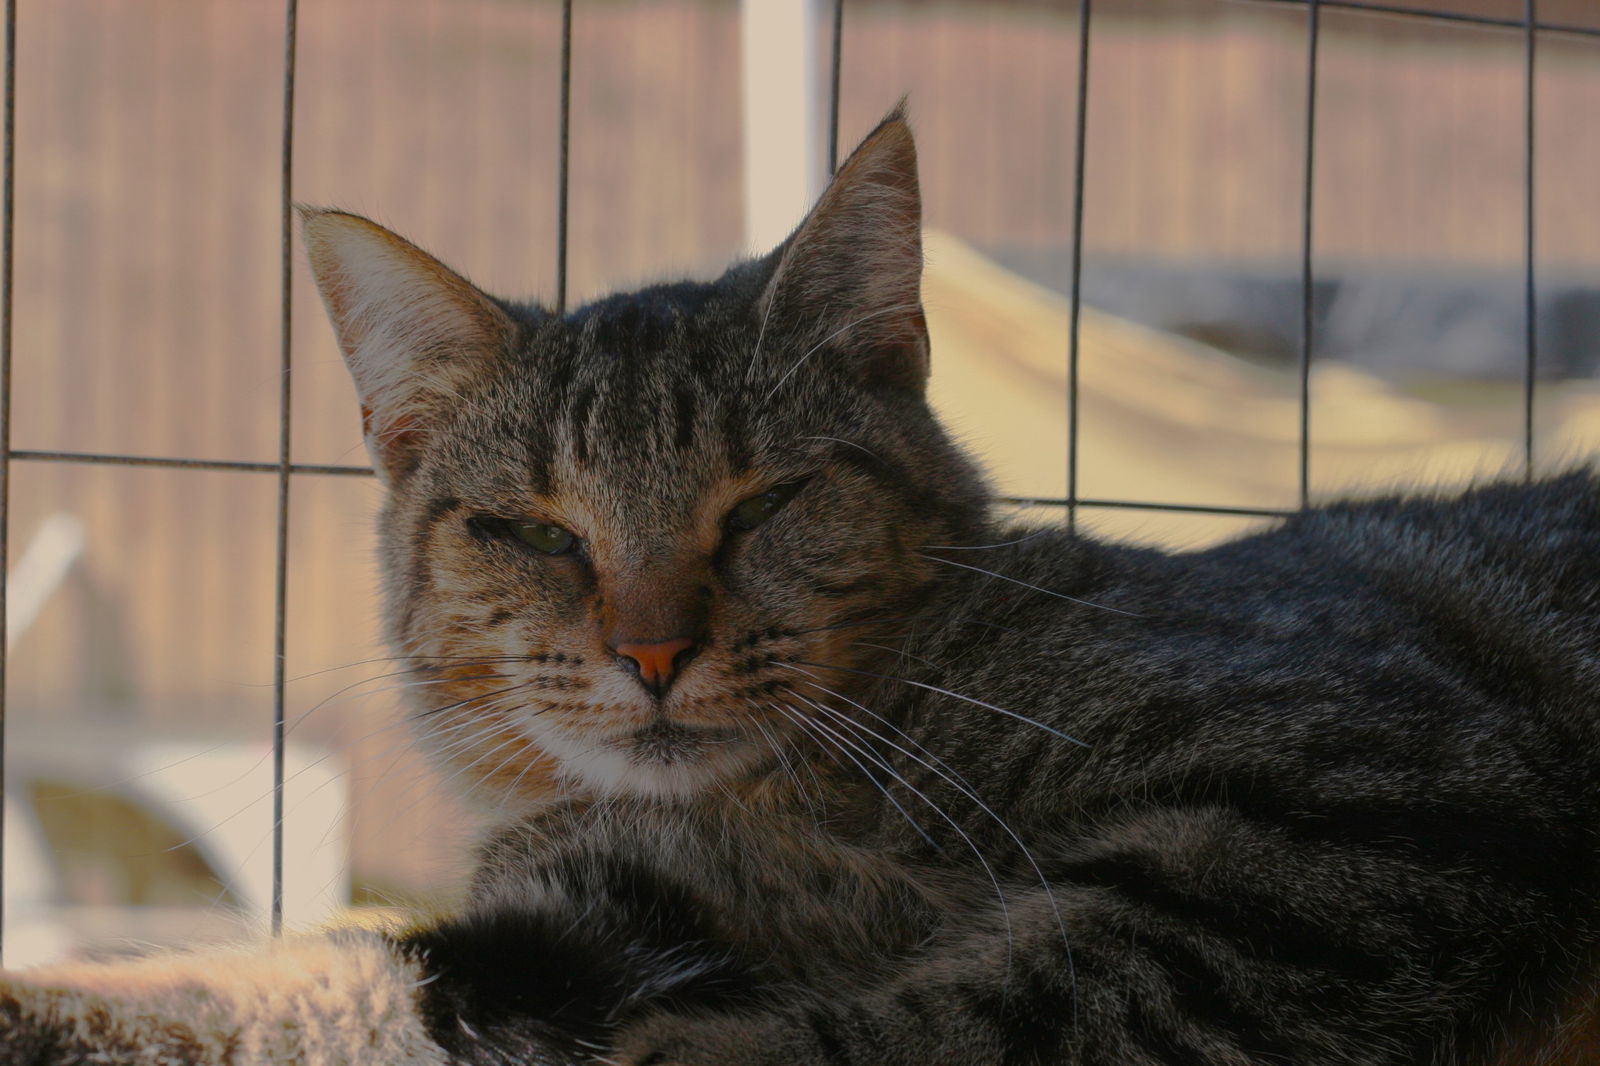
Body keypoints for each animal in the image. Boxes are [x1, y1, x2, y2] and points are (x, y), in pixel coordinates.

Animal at [3, 101, 1600, 1062]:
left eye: (764, 501)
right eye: (538, 531)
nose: (651, 649)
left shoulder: (1365, 793)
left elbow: (1024, 991)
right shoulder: (595, 916)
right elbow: (282, 977)